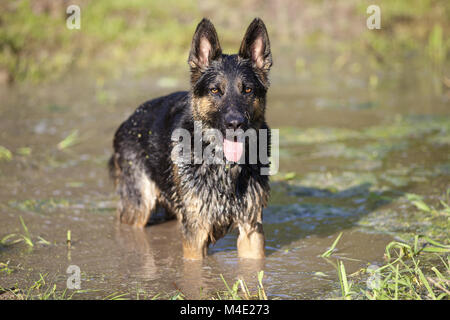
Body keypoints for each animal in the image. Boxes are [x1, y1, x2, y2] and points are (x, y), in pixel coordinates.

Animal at [109, 17, 272, 258]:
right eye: (215, 91)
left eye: (248, 90)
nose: (235, 124)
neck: (223, 168)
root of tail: (129, 119)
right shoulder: (195, 233)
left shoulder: (251, 229)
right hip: (138, 208)